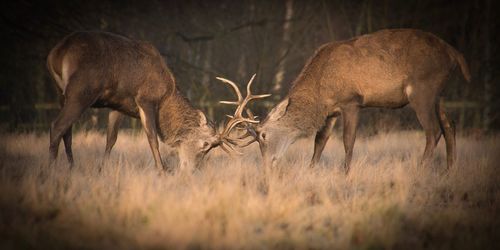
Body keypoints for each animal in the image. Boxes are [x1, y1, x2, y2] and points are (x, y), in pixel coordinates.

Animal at [46, 31, 235, 171]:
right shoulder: (146, 99)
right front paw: (162, 170)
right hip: (82, 90)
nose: (193, 170)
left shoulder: (118, 105)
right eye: (206, 144)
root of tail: (57, 53)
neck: (165, 96)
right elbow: (152, 137)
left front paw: (102, 169)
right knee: (57, 125)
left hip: (61, 92)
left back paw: (71, 167)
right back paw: (52, 169)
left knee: (67, 132)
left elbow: (111, 139)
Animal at [219, 29, 468, 173]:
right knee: (450, 126)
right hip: (439, 94)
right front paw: (311, 170)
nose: (267, 166)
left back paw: (420, 169)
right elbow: (320, 141)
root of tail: (454, 54)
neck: (321, 91)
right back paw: (450, 171)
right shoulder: (331, 112)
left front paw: (346, 172)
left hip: (423, 90)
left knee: (433, 130)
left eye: (263, 135)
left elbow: (349, 140)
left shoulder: (352, 101)